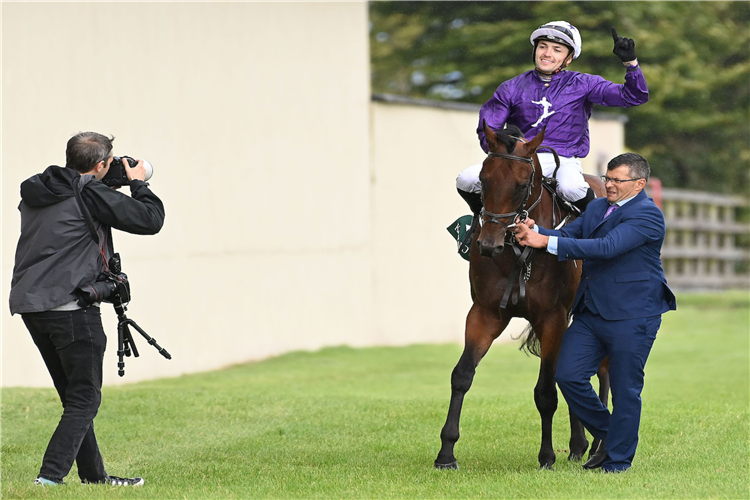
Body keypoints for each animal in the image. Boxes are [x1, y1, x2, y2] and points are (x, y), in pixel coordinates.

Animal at [434, 123, 612, 470]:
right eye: (483, 181)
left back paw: (598, 446)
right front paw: (446, 452)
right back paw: (578, 445)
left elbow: (545, 390)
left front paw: (546, 457)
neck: (518, 252)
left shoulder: (551, 318)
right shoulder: (486, 312)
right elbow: (462, 375)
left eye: (520, 186)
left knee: (604, 372)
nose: (488, 244)